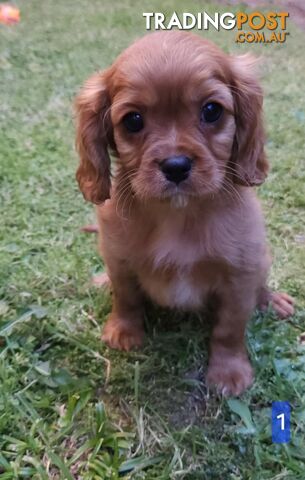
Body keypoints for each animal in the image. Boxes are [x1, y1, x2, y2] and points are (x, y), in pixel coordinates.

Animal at [75, 31, 294, 398]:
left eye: (212, 110)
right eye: (133, 120)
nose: (175, 166)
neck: (177, 214)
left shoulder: (240, 273)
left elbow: (230, 327)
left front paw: (229, 372)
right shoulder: (118, 257)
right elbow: (126, 297)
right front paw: (123, 331)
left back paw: (270, 299)